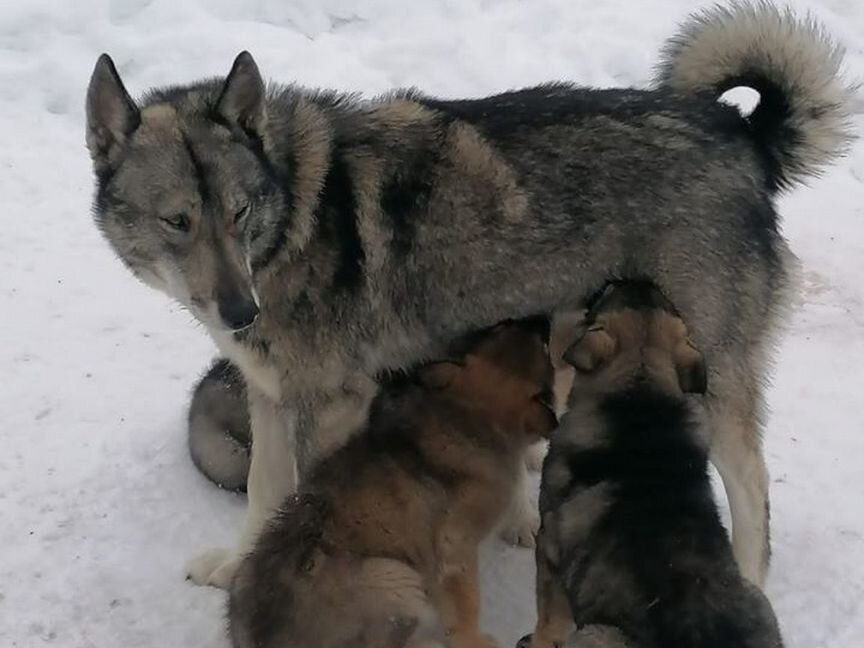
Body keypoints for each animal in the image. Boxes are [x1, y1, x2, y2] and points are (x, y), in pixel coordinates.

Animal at [84, 1, 852, 588]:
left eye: (240, 212)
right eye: (178, 222)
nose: (242, 312)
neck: (295, 216)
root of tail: (740, 132)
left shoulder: (332, 408)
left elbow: (302, 503)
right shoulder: (271, 399)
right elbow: (262, 492)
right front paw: (239, 568)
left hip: (710, 382)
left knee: (754, 491)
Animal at [226, 318, 556, 648]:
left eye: (496, 331)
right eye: (545, 350)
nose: (538, 321)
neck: (466, 412)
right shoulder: (454, 545)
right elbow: (464, 599)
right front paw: (472, 638)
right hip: (394, 576)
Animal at [520, 282, 784, 648]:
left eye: (603, 299)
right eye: (665, 299)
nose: (630, 278)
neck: (641, 389)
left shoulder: (549, 549)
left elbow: (549, 622)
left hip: (598, 635)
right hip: (758, 602)